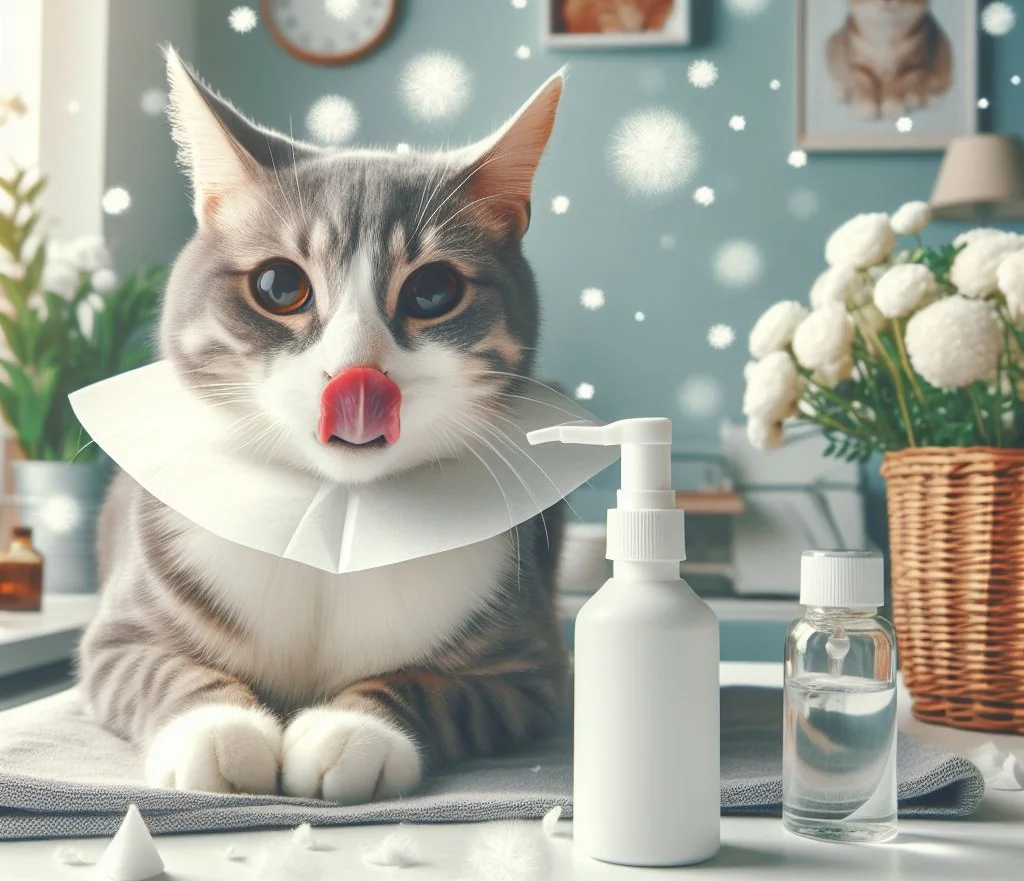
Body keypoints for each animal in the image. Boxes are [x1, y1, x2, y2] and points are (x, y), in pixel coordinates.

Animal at [75, 49, 573, 807]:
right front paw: (216, 730)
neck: (336, 512)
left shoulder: (529, 670)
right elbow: (159, 670)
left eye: (433, 291)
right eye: (280, 287)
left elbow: (433, 687)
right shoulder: (117, 636)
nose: (356, 379)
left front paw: (353, 730)